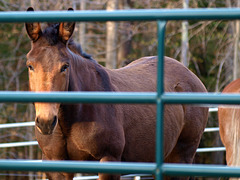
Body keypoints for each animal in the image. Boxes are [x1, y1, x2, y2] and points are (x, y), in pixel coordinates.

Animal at [24, 7, 208, 180]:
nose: (46, 121)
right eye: (30, 65)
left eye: (65, 66)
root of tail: (192, 77)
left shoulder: (109, 161)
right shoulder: (56, 167)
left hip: (180, 158)